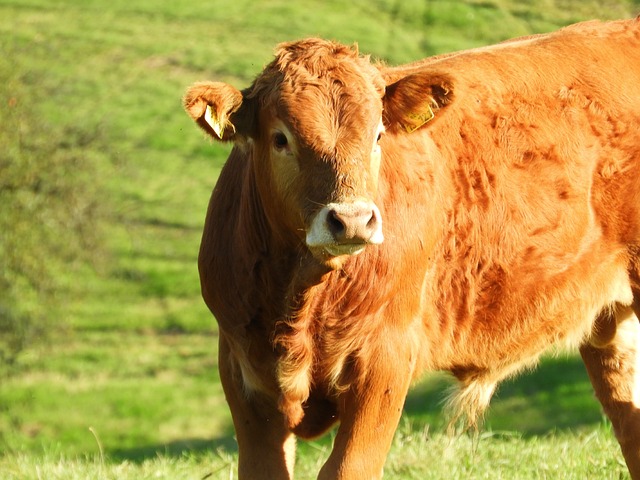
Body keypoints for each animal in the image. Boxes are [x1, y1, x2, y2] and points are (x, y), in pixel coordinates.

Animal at [182, 16, 640, 478]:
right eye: (281, 139)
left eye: (378, 135)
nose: (351, 219)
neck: (302, 302)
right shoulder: (243, 370)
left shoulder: (386, 359)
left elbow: (349, 468)